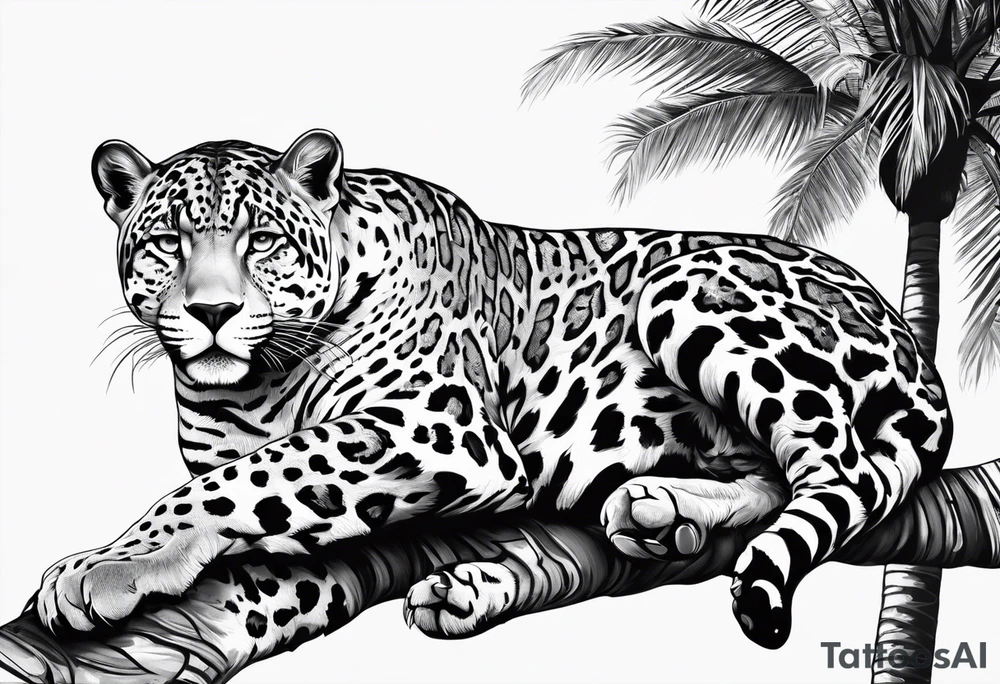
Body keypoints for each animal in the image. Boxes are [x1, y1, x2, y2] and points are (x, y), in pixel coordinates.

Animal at [34, 129, 951, 651]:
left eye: (263, 241)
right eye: (165, 243)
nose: (213, 313)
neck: (259, 383)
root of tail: (908, 338)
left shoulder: (438, 424)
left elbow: (247, 479)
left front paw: (101, 566)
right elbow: (260, 513)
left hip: (688, 286)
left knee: (831, 467)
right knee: (772, 472)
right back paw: (657, 508)